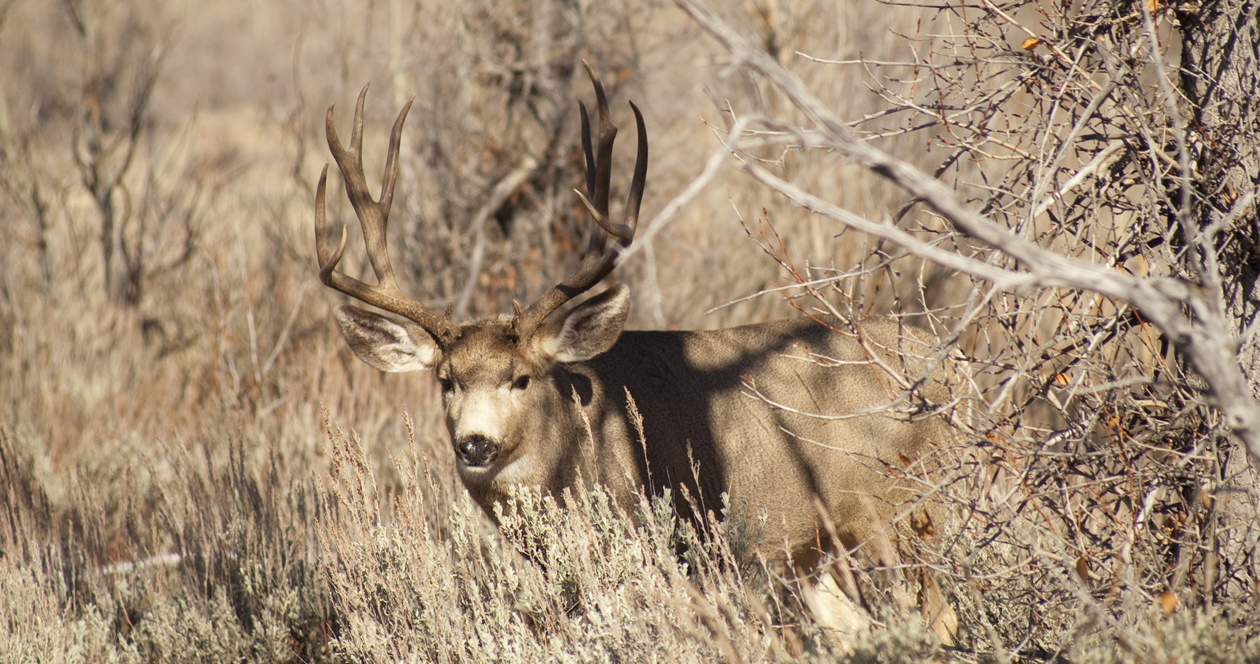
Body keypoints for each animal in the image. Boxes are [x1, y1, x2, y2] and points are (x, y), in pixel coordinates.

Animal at [314, 64, 960, 643]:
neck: (578, 457)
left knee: (939, 617)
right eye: (446, 380)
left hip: (908, 509)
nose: (475, 443)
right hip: (821, 551)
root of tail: (946, 360)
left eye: (522, 378)